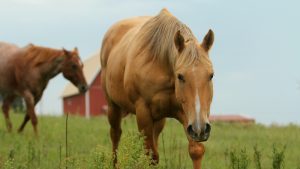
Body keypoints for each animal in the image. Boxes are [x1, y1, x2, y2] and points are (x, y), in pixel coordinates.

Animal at [101, 9, 216, 169]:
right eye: (180, 76)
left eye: (211, 75)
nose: (201, 129)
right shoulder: (143, 112)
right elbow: (151, 155)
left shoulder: (190, 116)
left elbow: (196, 150)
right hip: (113, 107)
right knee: (115, 135)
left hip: (160, 120)